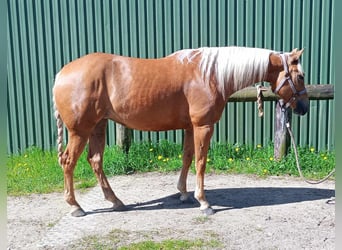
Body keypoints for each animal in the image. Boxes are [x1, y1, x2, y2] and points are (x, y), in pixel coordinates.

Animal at [52, 46, 308, 216]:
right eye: (300, 76)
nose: (304, 108)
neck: (209, 74)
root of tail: (61, 74)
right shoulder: (203, 126)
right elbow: (201, 162)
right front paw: (204, 202)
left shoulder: (189, 127)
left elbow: (187, 157)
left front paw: (184, 193)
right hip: (80, 131)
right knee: (68, 162)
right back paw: (76, 206)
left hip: (98, 126)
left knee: (95, 161)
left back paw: (115, 201)